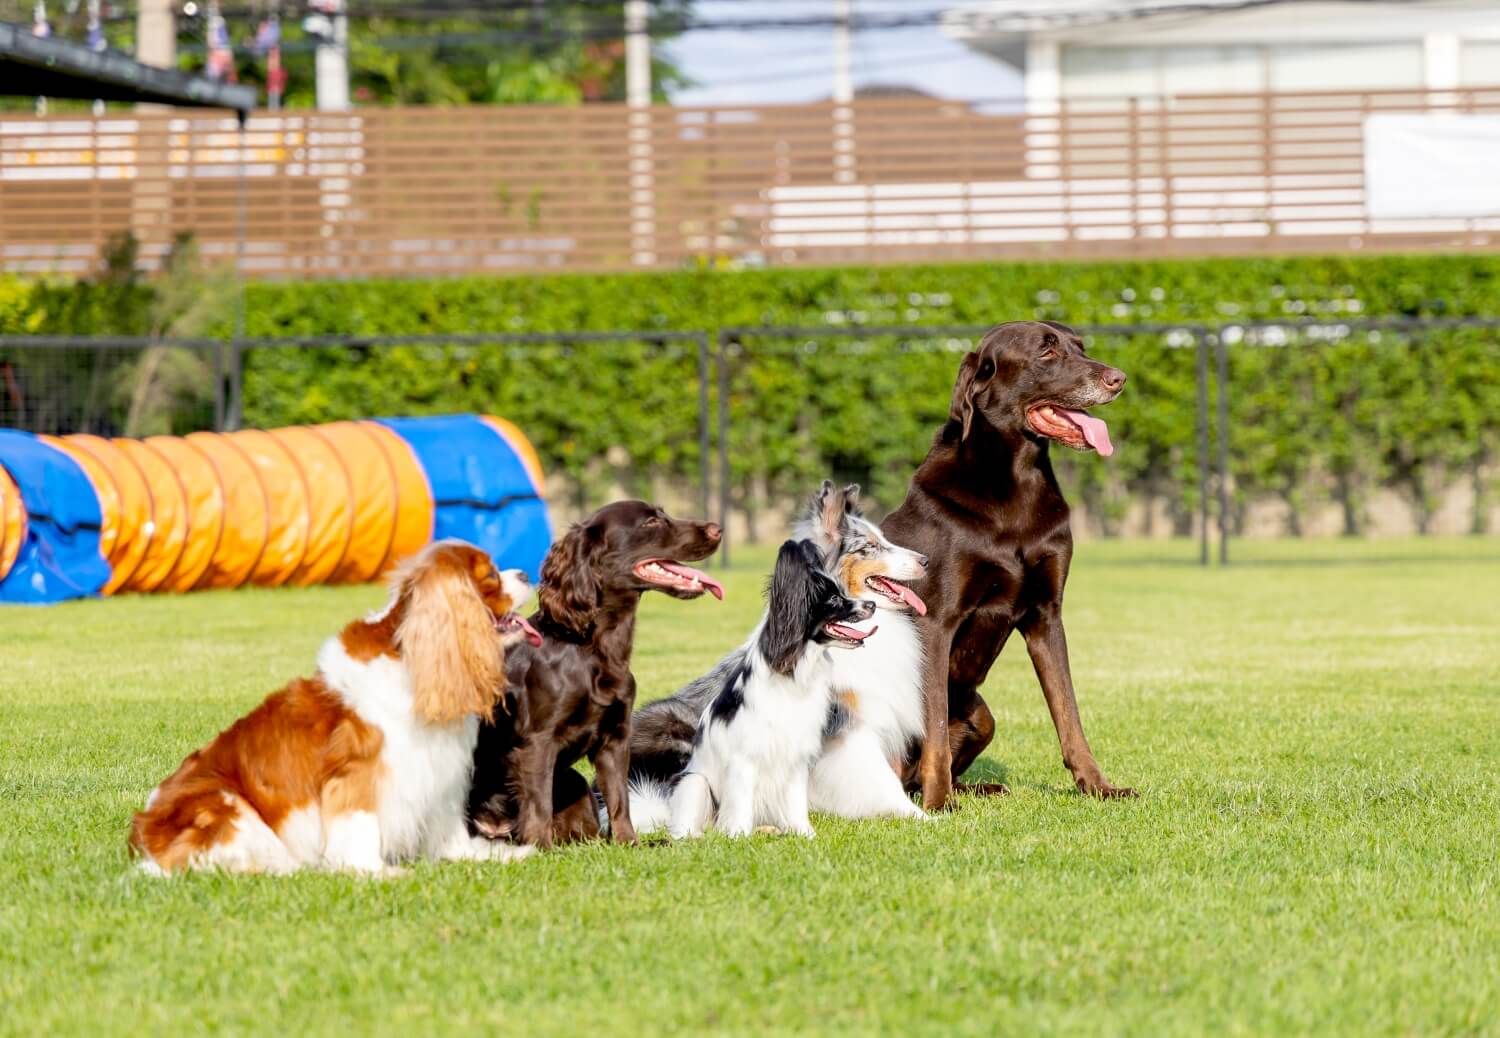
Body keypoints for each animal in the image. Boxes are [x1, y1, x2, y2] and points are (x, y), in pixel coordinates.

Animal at [651, 540, 876, 840]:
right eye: (833, 600)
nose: (872, 603)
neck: (794, 668)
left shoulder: (795, 756)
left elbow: (796, 803)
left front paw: (805, 835)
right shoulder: (744, 760)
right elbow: (740, 803)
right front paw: (737, 836)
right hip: (694, 781)